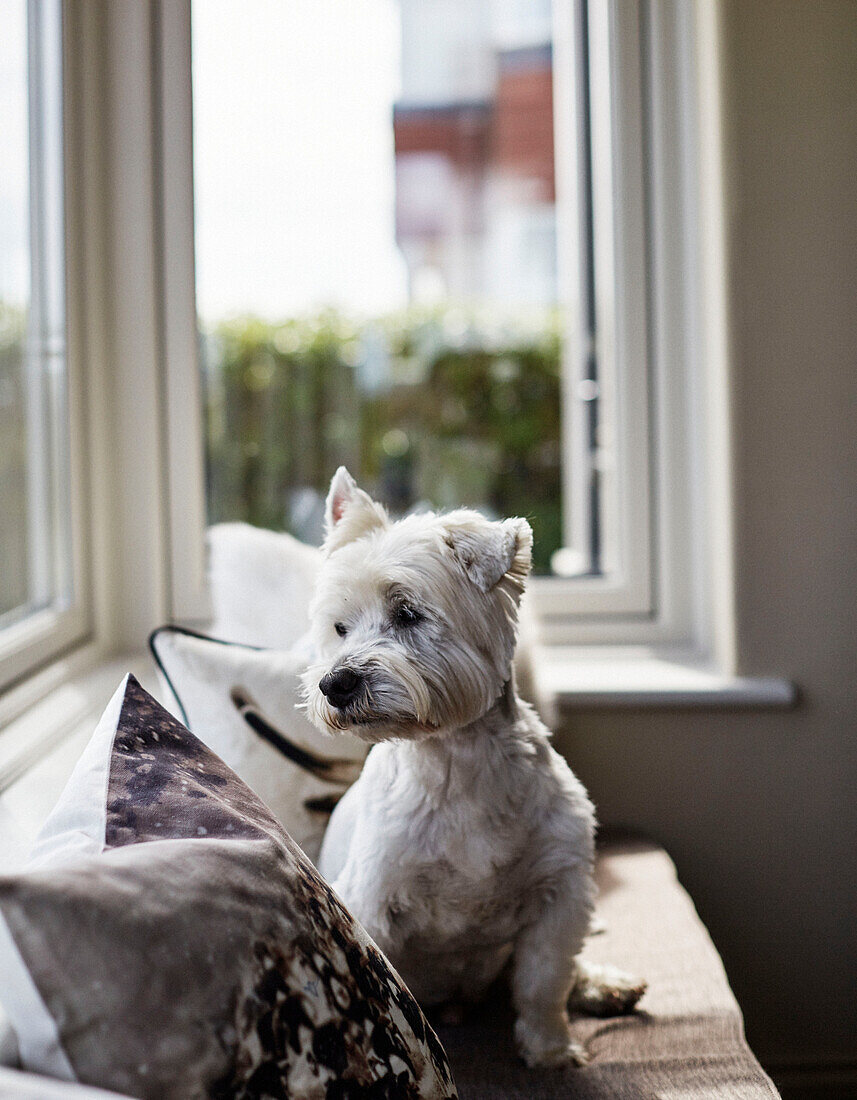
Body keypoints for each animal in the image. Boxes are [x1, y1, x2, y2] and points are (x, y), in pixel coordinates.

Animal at [305, 466, 642, 1064]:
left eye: (407, 613)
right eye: (340, 628)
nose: (335, 684)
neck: (453, 763)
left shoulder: (560, 893)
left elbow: (544, 980)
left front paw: (551, 1051)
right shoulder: (375, 900)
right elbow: (393, 992)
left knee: (566, 969)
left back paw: (607, 986)